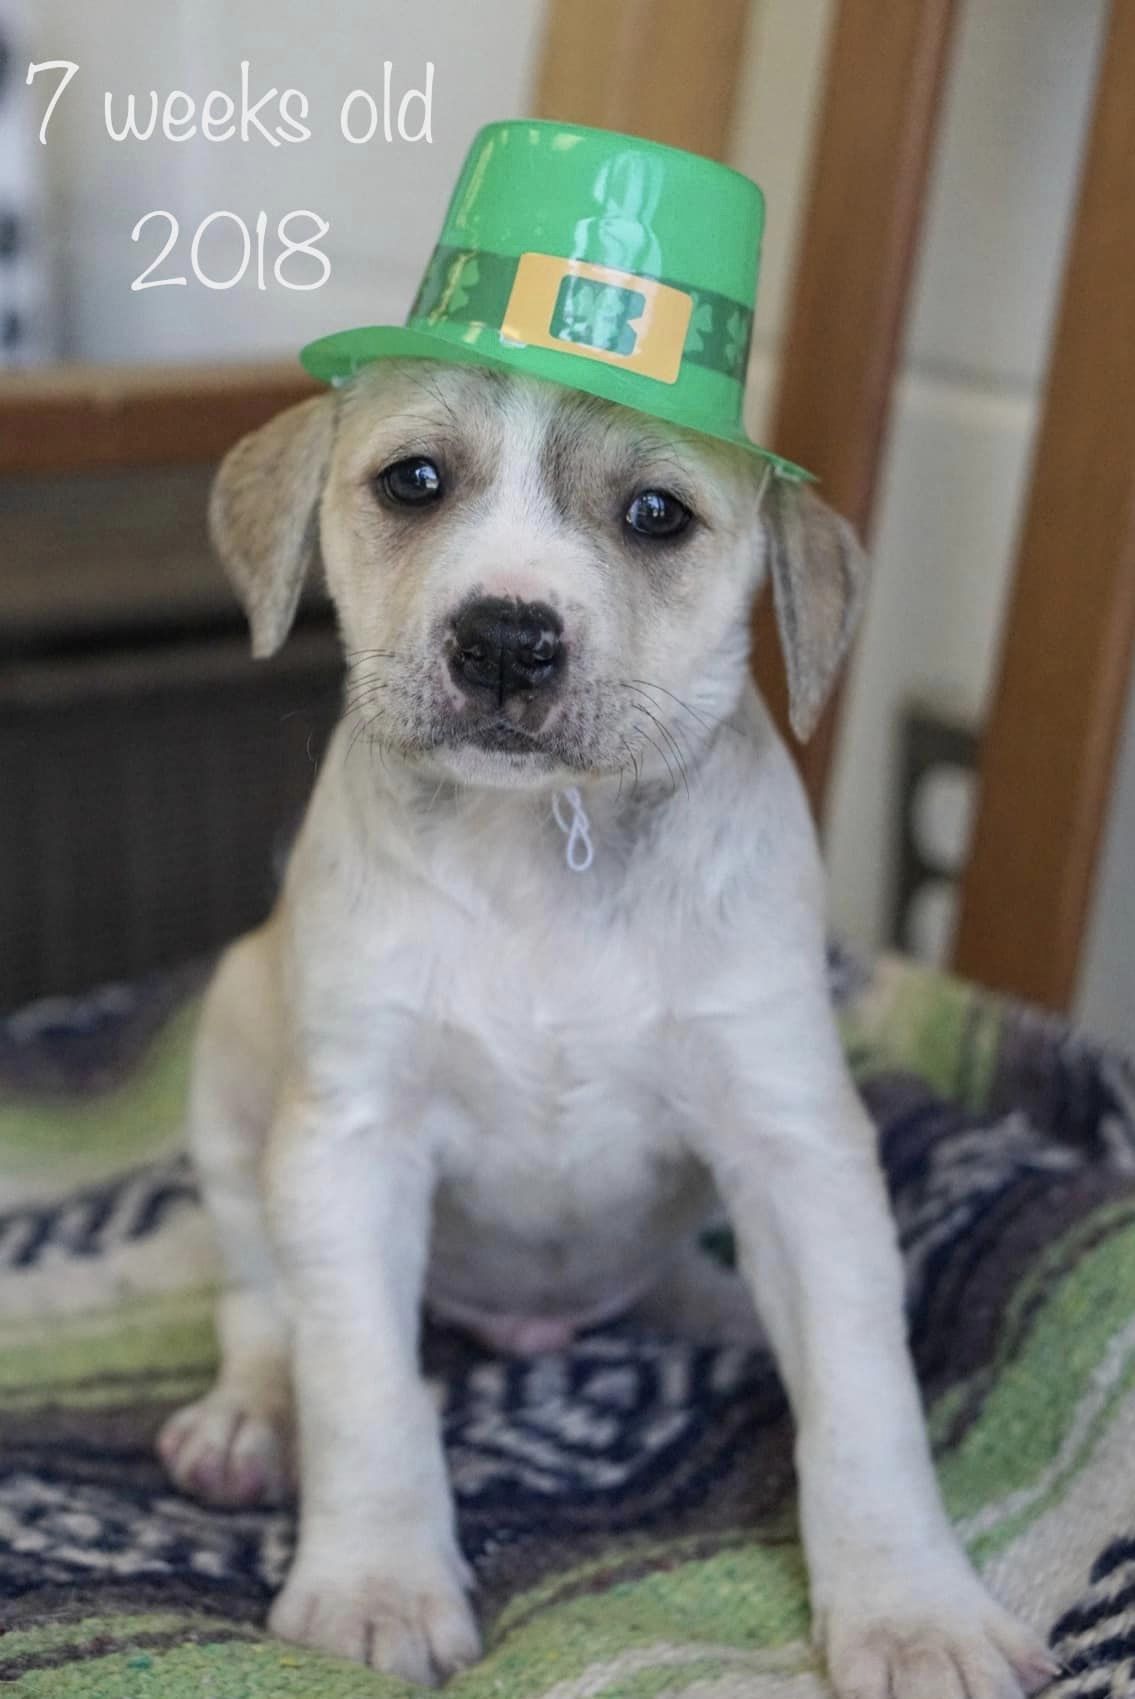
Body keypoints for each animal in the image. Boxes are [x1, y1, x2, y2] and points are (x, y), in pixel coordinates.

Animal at [161, 361, 1053, 1699]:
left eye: (656, 516)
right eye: (412, 482)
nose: (504, 640)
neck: (543, 838)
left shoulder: (794, 1146)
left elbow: (861, 1401)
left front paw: (911, 1612)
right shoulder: (349, 1142)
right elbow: (362, 1385)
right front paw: (375, 1585)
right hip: (232, 1059)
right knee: (262, 1300)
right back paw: (245, 1418)